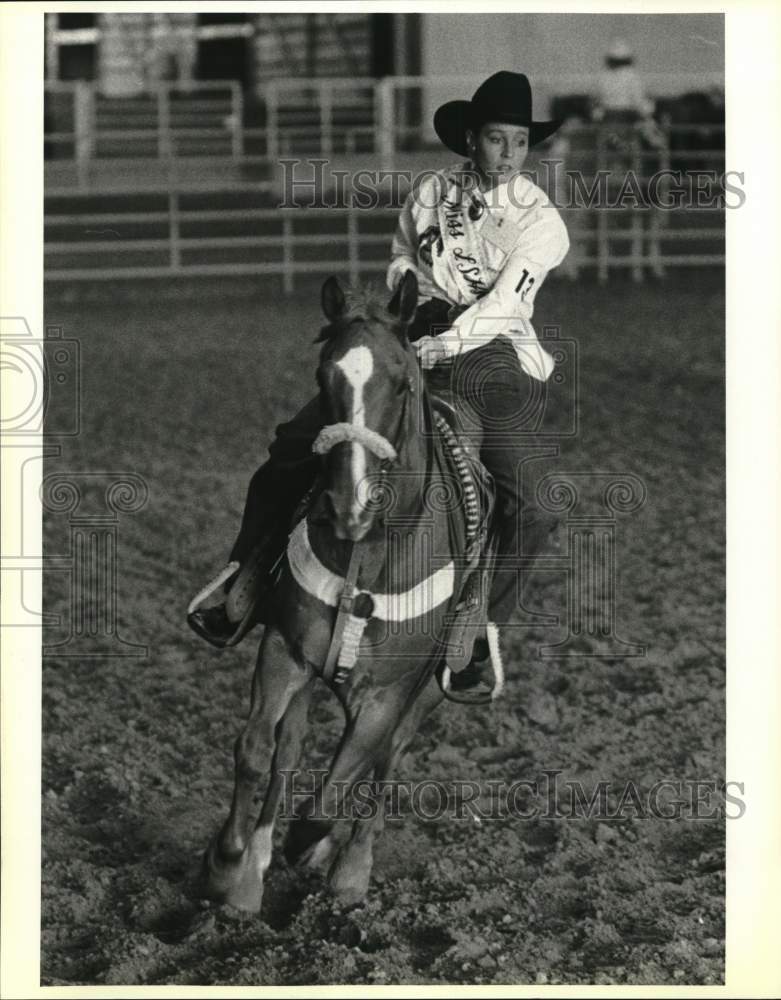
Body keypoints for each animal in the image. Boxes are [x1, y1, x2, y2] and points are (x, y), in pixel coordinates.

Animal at [201, 270, 488, 912]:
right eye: (322, 376)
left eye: (402, 383)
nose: (347, 506)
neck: (368, 555)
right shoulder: (284, 651)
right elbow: (257, 751)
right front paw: (231, 865)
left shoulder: (388, 694)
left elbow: (341, 784)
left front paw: (320, 856)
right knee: (290, 749)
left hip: (427, 692)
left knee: (384, 762)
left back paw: (349, 869)